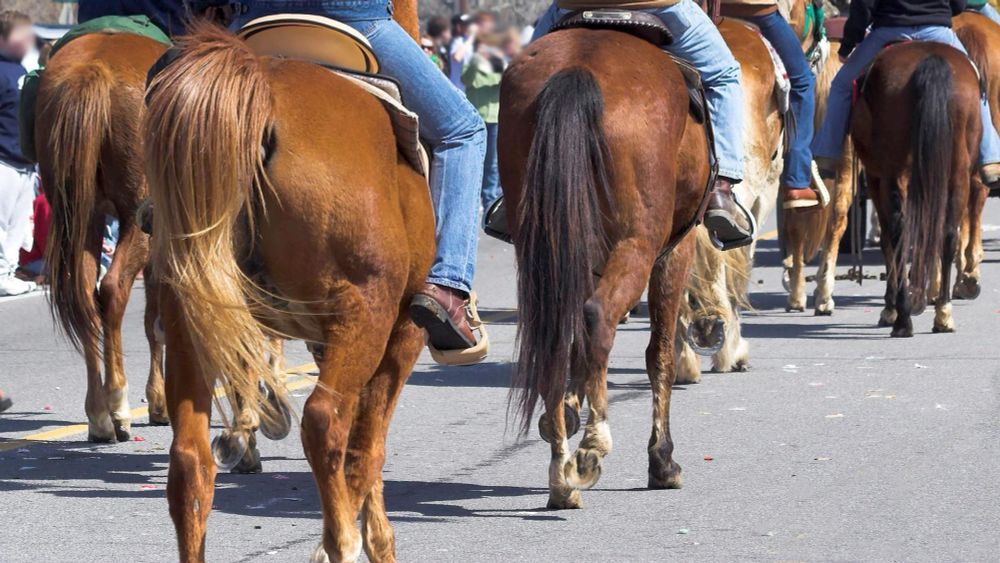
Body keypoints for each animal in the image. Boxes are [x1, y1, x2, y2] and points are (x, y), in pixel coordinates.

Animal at [498, 28, 704, 508]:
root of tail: (579, 67)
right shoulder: (675, 250)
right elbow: (660, 354)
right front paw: (662, 461)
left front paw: (570, 408)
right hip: (637, 244)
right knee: (598, 318)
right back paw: (592, 448)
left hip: (544, 249)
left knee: (555, 335)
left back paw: (561, 472)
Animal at [852, 44, 984, 338]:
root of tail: (930, 60)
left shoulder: (876, 179)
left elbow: (890, 239)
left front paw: (891, 307)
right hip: (957, 172)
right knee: (947, 234)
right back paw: (943, 313)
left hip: (893, 175)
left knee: (897, 234)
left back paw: (902, 318)